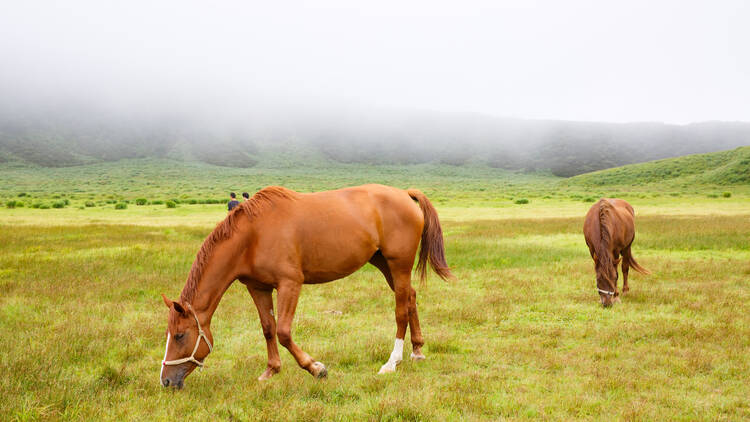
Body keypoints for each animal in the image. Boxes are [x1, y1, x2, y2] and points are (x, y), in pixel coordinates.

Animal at [159, 183, 452, 388]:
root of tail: (405, 193)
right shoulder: (258, 288)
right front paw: (271, 370)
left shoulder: (290, 284)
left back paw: (392, 362)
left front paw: (315, 368)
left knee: (401, 309)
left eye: (180, 335)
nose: (166, 380)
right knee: (410, 298)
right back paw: (417, 351)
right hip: (384, 264)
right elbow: (268, 328)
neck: (252, 236)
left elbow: (284, 332)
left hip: (398, 265)